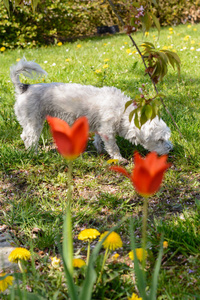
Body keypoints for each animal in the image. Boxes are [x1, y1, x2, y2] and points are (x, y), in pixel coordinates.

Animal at [10, 58, 173, 162]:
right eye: (160, 140)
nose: (171, 149)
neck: (121, 110)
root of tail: (24, 87)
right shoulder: (108, 131)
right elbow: (113, 147)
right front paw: (119, 159)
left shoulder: (100, 128)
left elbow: (98, 141)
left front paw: (100, 151)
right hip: (34, 121)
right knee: (29, 138)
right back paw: (34, 154)